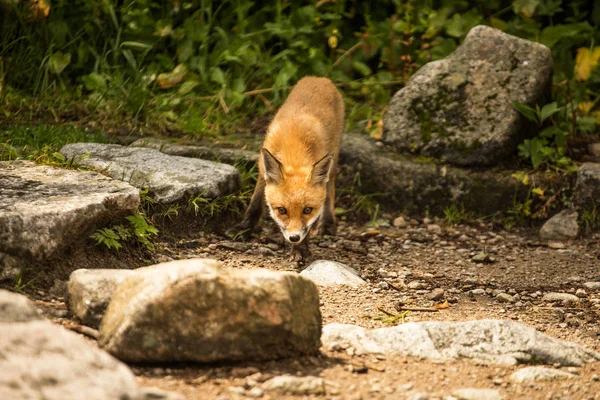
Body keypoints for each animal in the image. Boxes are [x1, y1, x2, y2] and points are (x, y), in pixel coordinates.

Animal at [236, 76, 346, 260]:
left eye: (307, 210)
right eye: (282, 210)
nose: (294, 238)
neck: (293, 143)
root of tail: (319, 78)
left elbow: (308, 226)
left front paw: (300, 249)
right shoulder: (263, 169)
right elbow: (255, 203)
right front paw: (244, 229)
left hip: (333, 154)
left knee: (330, 186)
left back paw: (327, 222)